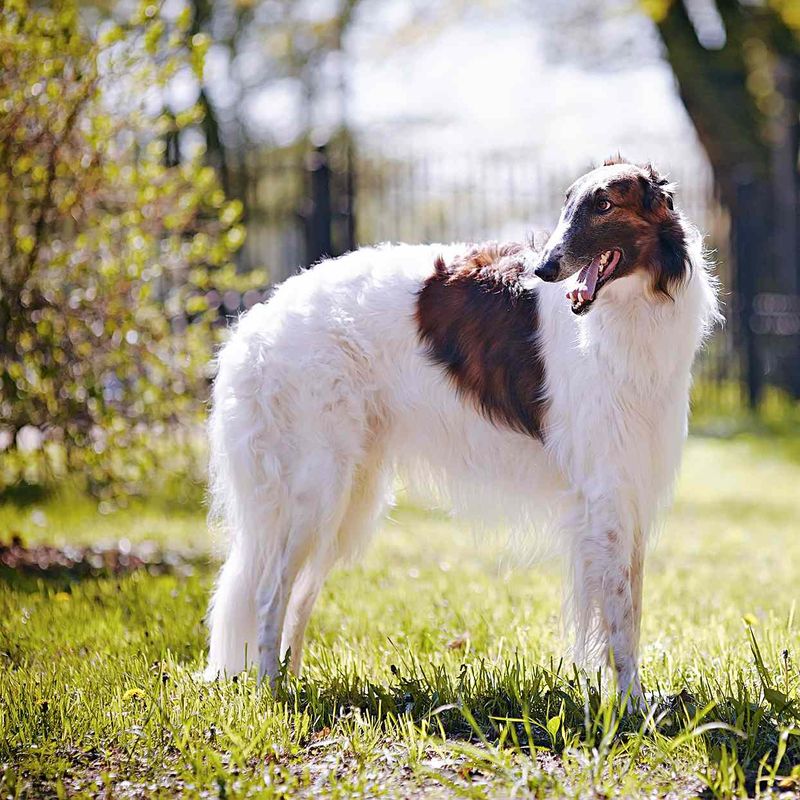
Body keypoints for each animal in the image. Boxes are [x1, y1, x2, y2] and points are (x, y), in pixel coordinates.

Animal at [205, 158, 720, 708]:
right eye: (568, 203)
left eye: (604, 204)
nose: (544, 269)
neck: (631, 309)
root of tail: (256, 323)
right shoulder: (606, 492)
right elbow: (620, 620)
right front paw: (632, 708)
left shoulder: (630, 491)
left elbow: (633, 611)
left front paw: (634, 703)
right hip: (315, 489)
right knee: (269, 594)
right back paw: (270, 691)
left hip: (347, 498)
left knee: (298, 598)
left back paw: (294, 683)